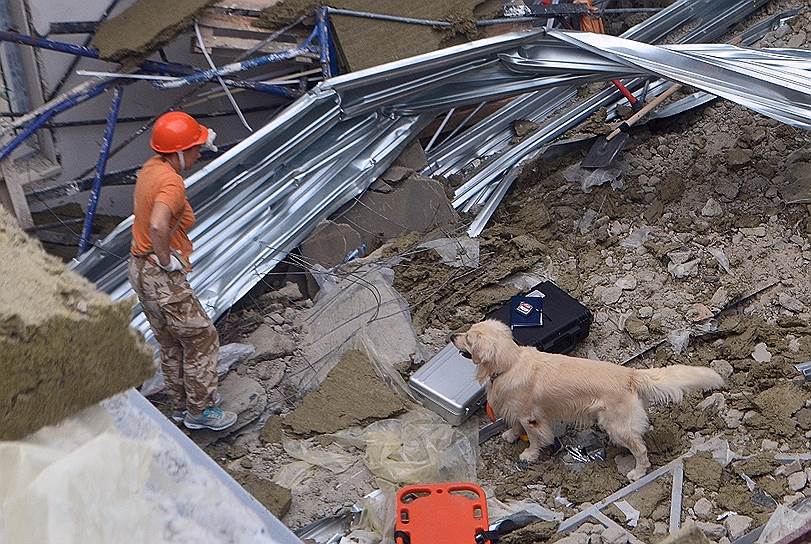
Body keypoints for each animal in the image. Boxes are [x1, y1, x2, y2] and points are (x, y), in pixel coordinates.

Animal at [450, 318, 724, 480]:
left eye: (469, 338)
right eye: (468, 331)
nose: (452, 335)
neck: (510, 363)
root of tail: (629, 374)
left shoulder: (532, 418)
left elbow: (535, 438)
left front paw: (529, 454)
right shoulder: (517, 410)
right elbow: (515, 425)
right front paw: (510, 435)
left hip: (616, 425)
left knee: (641, 448)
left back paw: (637, 472)